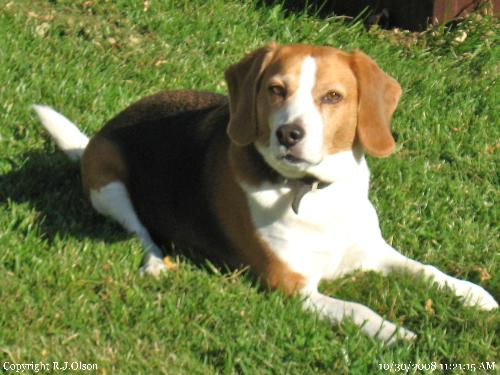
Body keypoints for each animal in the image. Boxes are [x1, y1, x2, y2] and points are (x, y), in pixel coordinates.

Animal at [34, 44, 496, 346]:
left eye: (333, 96)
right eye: (276, 89)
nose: (289, 133)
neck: (312, 191)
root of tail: (94, 138)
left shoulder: (373, 251)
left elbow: (428, 272)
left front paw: (472, 294)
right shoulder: (292, 286)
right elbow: (357, 309)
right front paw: (394, 332)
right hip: (108, 182)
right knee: (142, 233)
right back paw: (156, 263)